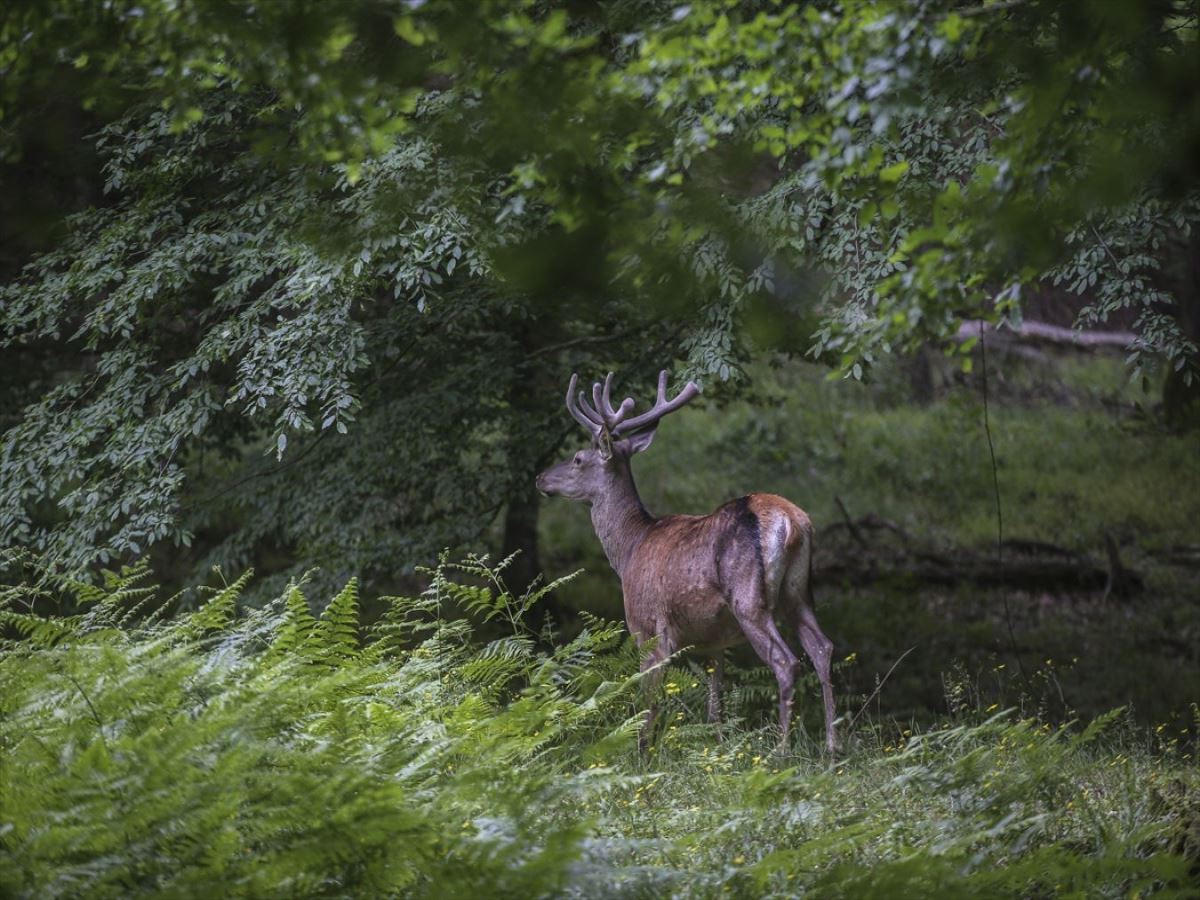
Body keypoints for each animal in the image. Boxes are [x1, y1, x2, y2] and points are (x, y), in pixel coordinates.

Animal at [540, 369, 840, 758]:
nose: (540, 478)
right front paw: (718, 749)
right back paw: (833, 746)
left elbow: (650, 700)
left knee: (787, 663)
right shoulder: (714, 640)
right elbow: (716, 705)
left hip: (749, 599)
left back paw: (781, 751)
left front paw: (644, 753)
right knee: (822, 648)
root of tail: (792, 522)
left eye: (578, 458)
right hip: (799, 592)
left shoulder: (647, 626)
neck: (630, 548)